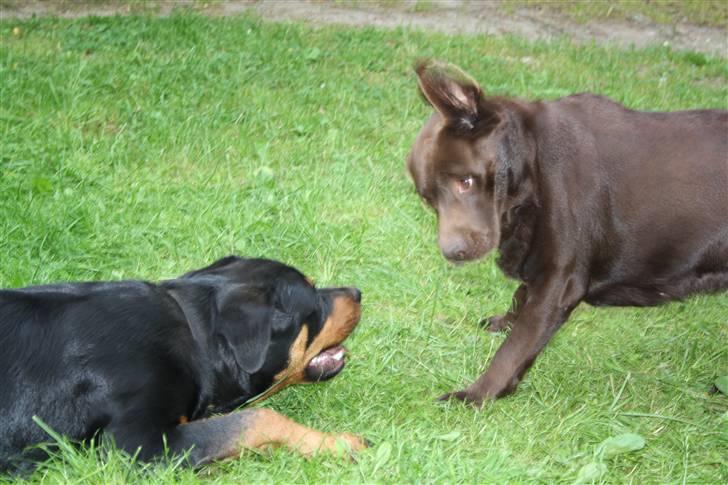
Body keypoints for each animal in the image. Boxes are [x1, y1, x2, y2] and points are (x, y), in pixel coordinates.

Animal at [0, 255, 364, 470]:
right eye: (315, 301)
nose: (358, 292)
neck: (194, 338)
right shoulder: (133, 443)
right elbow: (260, 418)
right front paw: (340, 444)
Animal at [406, 59, 724, 404]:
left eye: (465, 182)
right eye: (428, 199)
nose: (452, 252)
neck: (533, 169)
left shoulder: (560, 280)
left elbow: (515, 346)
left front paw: (476, 395)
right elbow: (521, 296)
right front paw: (504, 322)